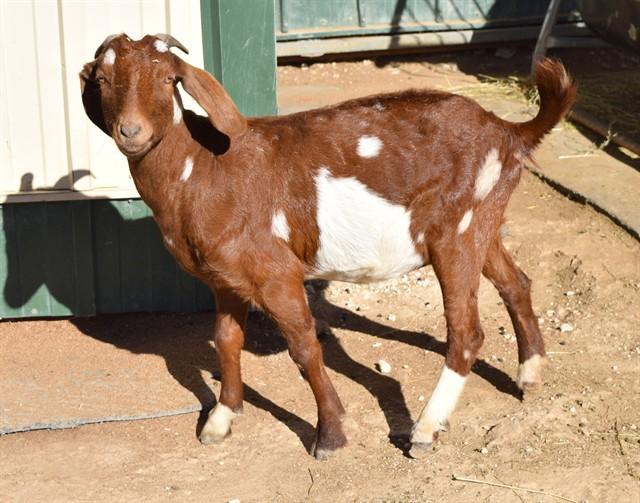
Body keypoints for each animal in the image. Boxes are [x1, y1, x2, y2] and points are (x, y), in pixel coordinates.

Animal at [80, 33, 576, 459]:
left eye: (169, 78)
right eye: (101, 79)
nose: (130, 131)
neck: (202, 169)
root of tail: (508, 132)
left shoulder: (275, 273)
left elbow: (304, 349)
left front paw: (331, 435)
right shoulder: (226, 279)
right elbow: (226, 340)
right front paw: (221, 418)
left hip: (456, 232)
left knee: (467, 331)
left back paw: (425, 429)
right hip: (482, 223)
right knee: (517, 283)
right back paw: (530, 375)